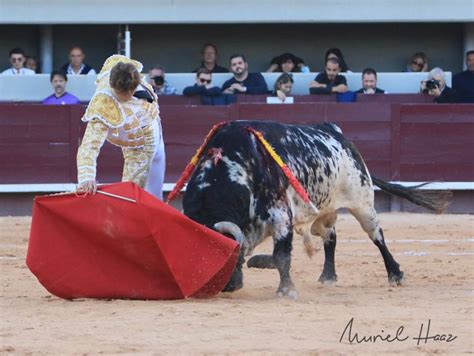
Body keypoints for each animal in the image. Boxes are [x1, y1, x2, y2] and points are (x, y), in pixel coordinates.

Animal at [182, 121, 452, 298]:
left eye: (230, 256)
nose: (229, 287)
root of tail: (338, 133)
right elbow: (278, 254)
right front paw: (260, 263)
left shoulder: (281, 215)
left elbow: (281, 255)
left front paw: (286, 289)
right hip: (323, 212)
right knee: (330, 237)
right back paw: (328, 277)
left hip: (362, 202)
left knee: (377, 236)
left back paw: (395, 274)